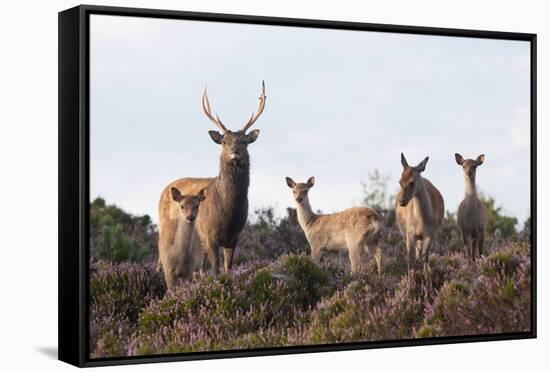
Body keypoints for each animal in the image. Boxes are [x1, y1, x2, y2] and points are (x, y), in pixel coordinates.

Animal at [157, 81, 268, 274]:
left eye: (244, 141)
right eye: (224, 141)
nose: (235, 151)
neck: (227, 214)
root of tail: (164, 191)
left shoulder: (234, 238)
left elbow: (227, 270)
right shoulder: (209, 236)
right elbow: (215, 270)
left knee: (198, 270)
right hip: (166, 230)